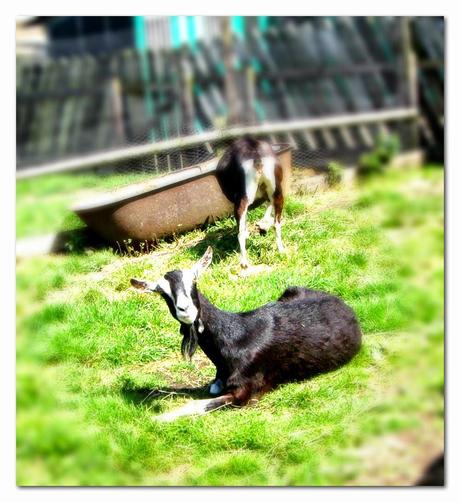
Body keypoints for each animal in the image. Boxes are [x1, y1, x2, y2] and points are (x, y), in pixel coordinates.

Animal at [130, 249, 362, 422]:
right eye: (161, 292)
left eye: (194, 281)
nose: (184, 309)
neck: (234, 336)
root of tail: (345, 306)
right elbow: (212, 389)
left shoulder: (245, 392)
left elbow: (200, 403)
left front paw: (159, 418)